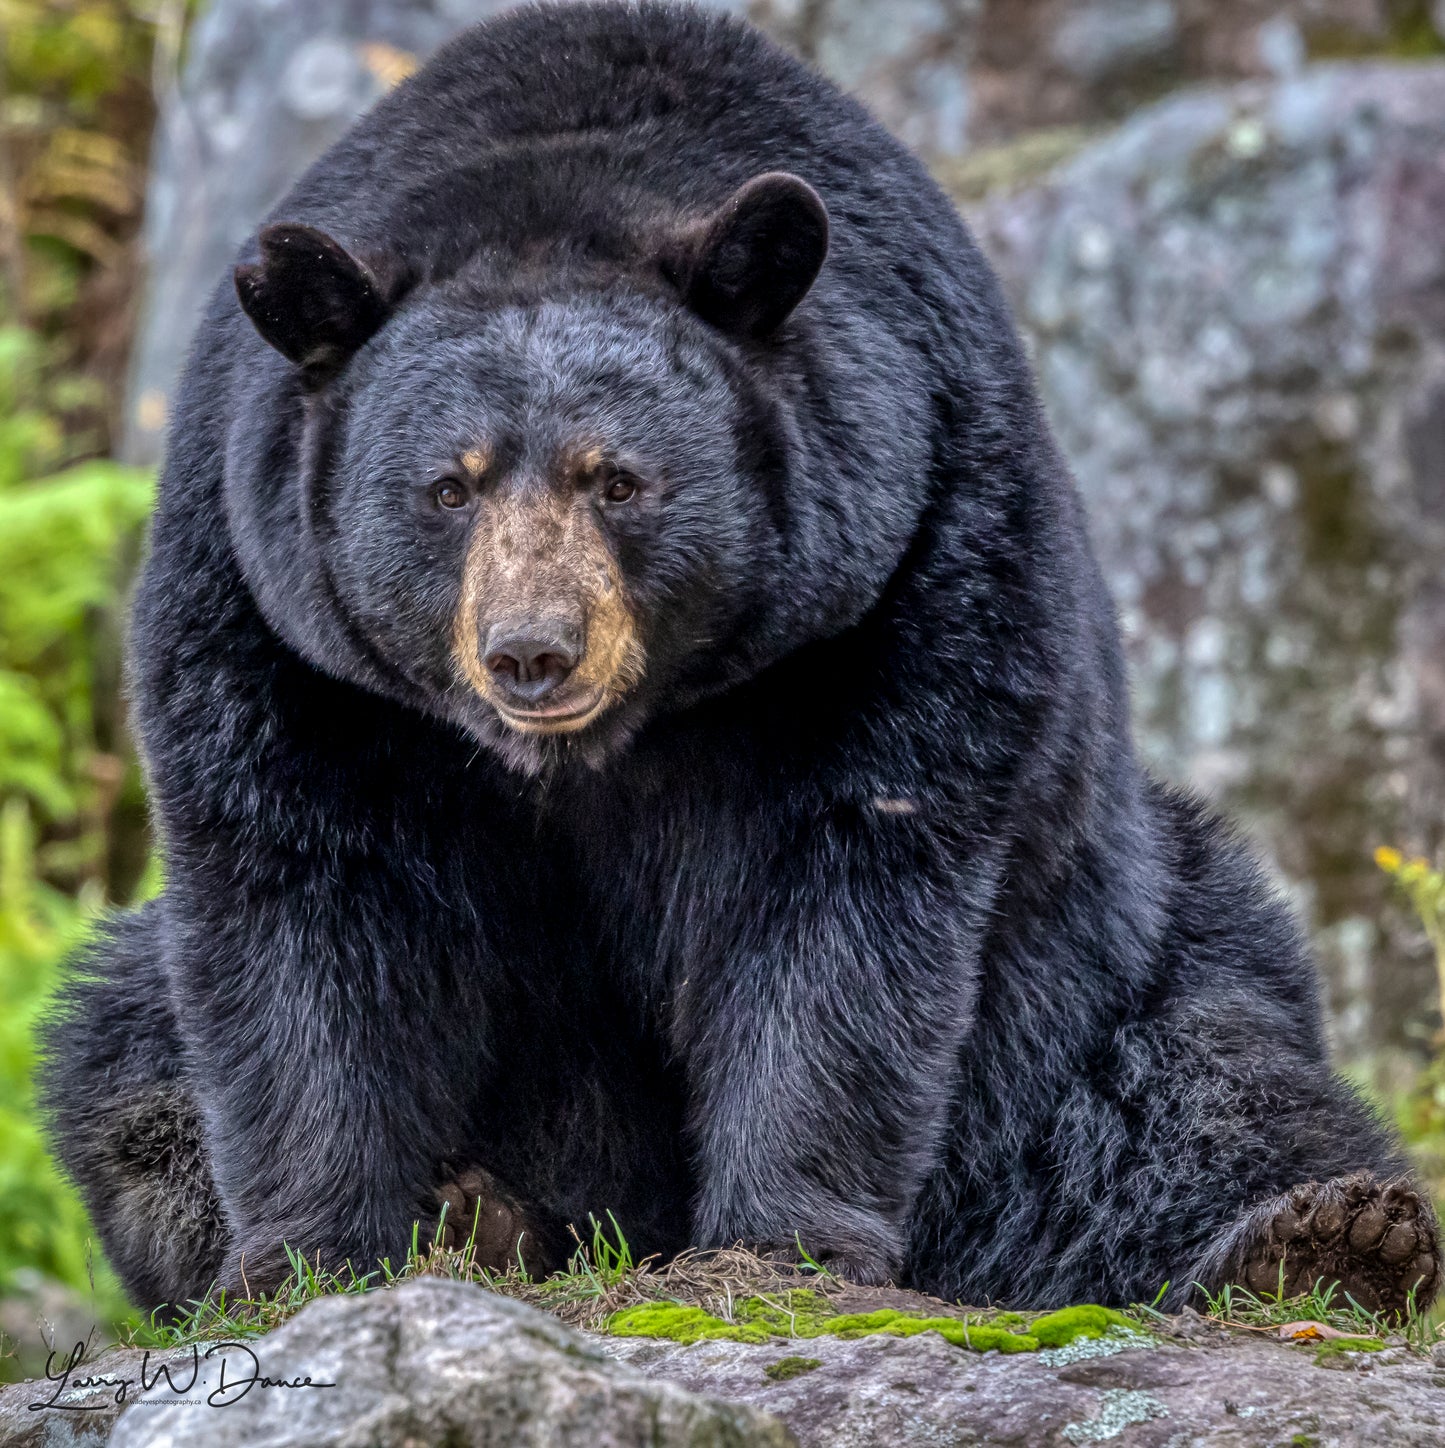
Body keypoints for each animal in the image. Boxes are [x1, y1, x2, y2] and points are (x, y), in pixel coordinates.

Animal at [40, 0, 1439, 1318]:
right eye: (448, 485)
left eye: (618, 478)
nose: (532, 653)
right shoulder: (277, 622)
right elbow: (304, 896)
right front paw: (307, 1253)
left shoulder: (901, 572)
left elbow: (841, 896)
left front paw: (782, 1243)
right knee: (124, 1061)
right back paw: (480, 1216)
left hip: (1108, 956)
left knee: (1193, 1075)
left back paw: (1327, 1237)